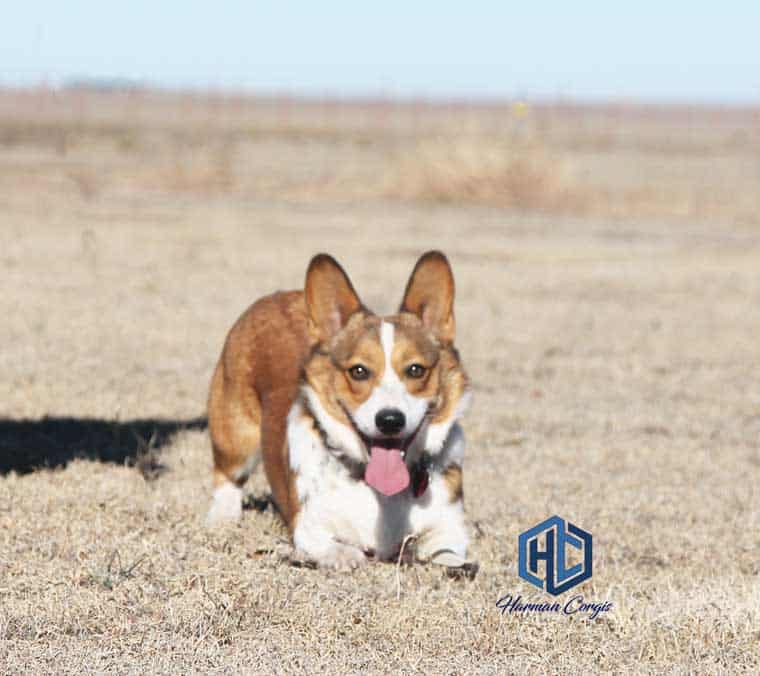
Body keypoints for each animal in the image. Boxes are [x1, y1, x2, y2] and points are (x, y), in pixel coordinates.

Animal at [205, 251, 472, 568]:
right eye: (358, 371)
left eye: (416, 370)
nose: (390, 420)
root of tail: (273, 297)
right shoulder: (309, 526)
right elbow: (333, 545)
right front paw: (348, 556)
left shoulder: (449, 528)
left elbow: (449, 552)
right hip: (236, 435)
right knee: (227, 477)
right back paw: (223, 516)